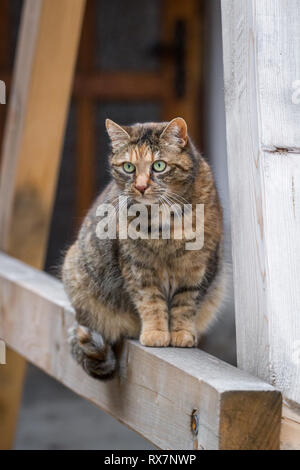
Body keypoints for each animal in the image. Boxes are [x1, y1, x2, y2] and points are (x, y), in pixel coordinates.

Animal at [62, 117, 224, 378]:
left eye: (159, 165)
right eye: (128, 167)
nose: (140, 187)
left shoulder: (198, 266)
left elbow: (185, 304)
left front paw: (181, 333)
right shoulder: (137, 267)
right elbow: (151, 302)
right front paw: (156, 333)